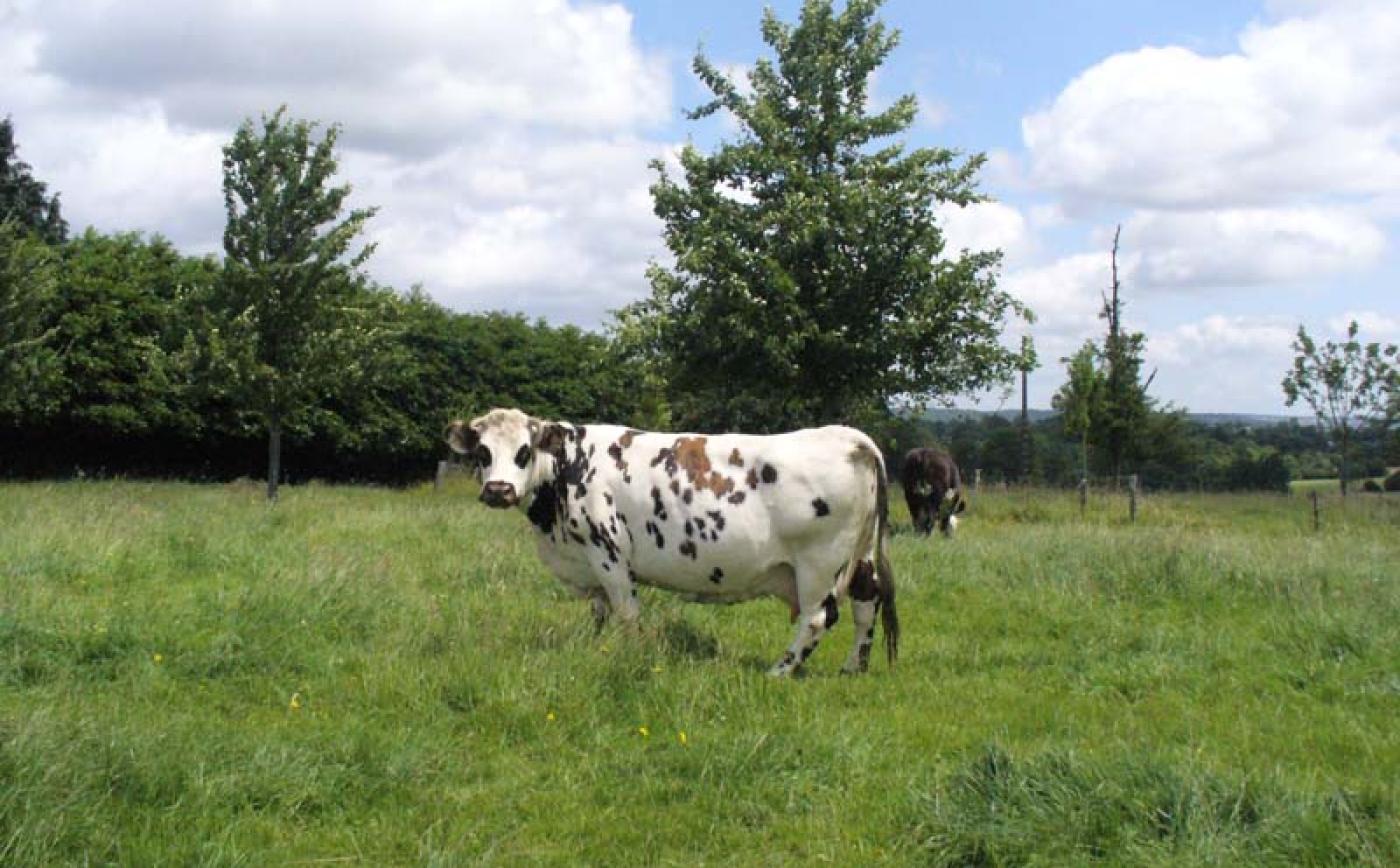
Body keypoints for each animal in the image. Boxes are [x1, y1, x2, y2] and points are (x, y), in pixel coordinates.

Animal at [448, 408, 896, 677]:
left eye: (524, 451)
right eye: (482, 452)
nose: (498, 490)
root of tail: (847, 437)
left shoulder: (607, 552)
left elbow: (626, 612)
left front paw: (628, 655)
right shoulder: (588, 564)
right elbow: (599, 611)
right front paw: (595, 646)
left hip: (818, 564)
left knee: (818, 618)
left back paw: (779, 671)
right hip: (860, 557)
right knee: (866, 606)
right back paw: (853, 668)